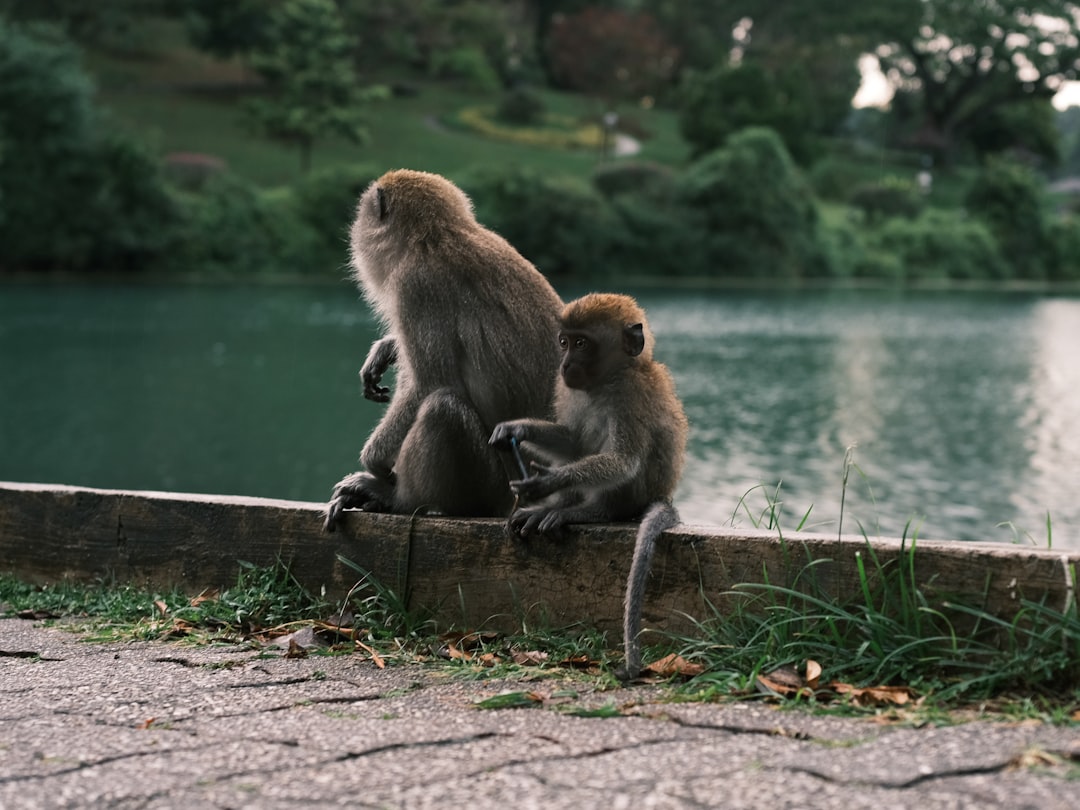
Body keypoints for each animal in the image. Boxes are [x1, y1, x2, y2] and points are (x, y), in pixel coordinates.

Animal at [321, 171, 561, 533]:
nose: (355, 229)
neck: (435, 235)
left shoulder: (415, 287)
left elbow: (428, 384)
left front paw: (374, 461)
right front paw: (387, 348)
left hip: (493, 487)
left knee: (442, 408)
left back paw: (397, 498)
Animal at [492, 291, 686, 678]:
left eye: (582, 344)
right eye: (564, 342)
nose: (565, 365)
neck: (609, 379)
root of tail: (662, 495)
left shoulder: (630, 395)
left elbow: (623, 461)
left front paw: (546, 484)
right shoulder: (572, 391)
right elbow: (571, 441)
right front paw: (516, 428)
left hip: (633, 495)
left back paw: (586, 510)